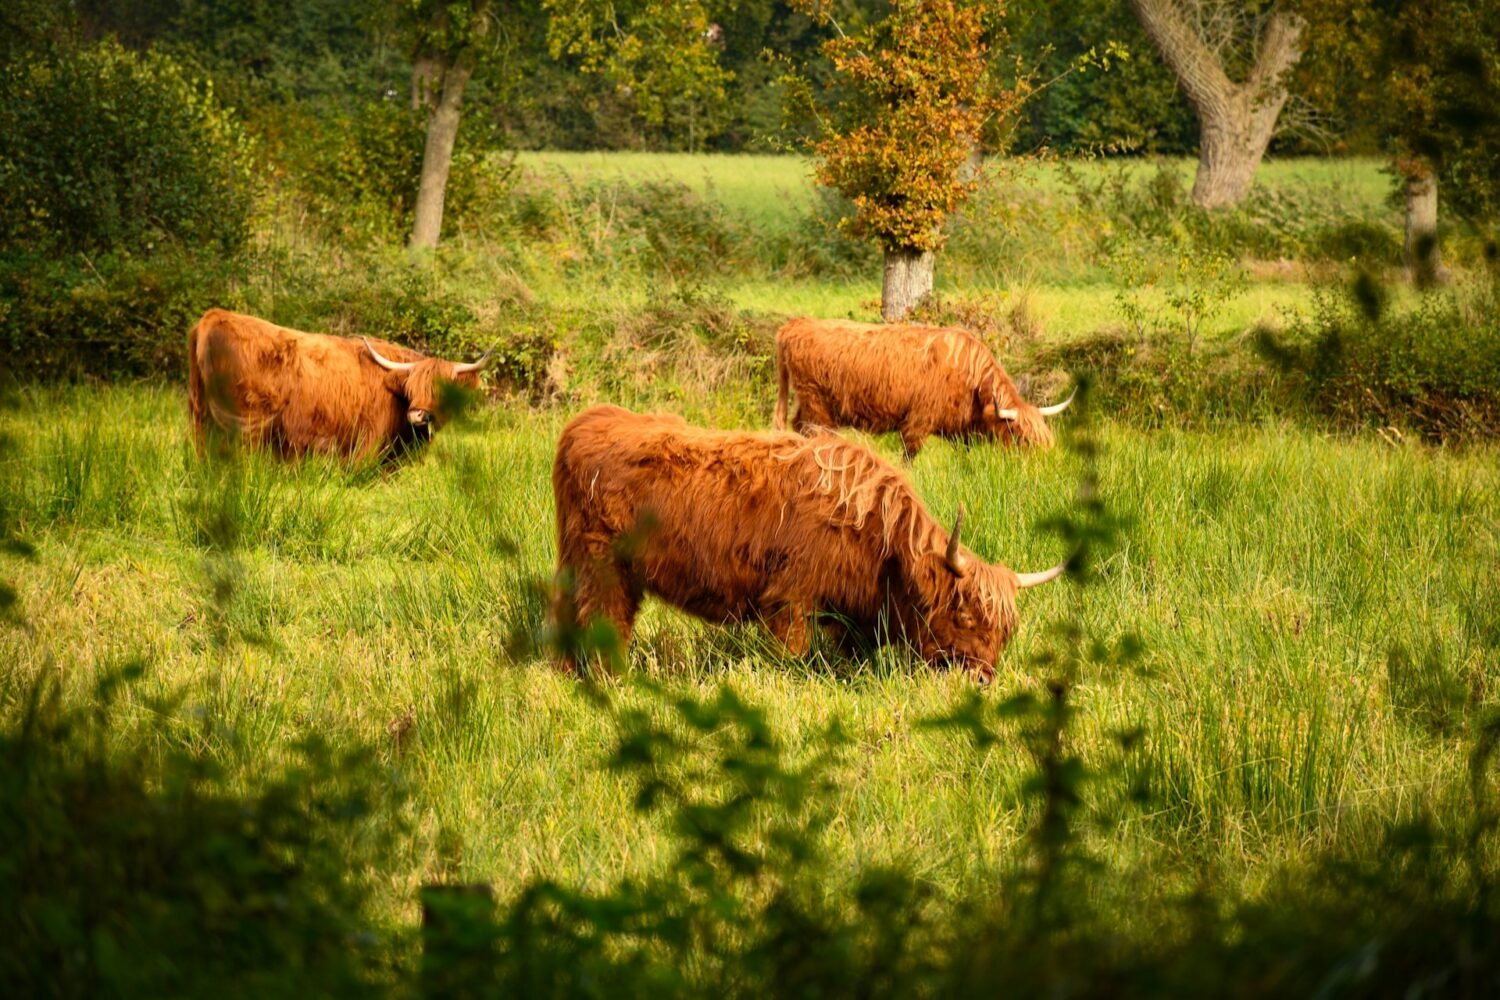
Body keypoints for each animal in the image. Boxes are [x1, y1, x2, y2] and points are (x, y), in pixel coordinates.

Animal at [187, 309, 491, 461]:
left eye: (441, 390)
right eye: (412, 389)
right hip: (246, 426)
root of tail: (213, 316)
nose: (417, 415)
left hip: (200, 417)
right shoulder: (366, 449)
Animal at [551, 405, 1068, 681]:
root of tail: (588, 419)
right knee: (604, 617)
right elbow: (792, 652)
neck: (880, 546)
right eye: (964, 616)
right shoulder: (791, 597)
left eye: (1005, 631)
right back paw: (610, 676)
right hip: (602, 564)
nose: (983, 678)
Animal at [773, 317, 1075, 458]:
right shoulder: (918, 421)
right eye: (1023, 439)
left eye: (1046, 439)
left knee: (797, 426)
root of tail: (795, 324)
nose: (1046, 463)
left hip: (809, 402)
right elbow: (909, 456)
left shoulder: (962, 430)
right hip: (817, 404)